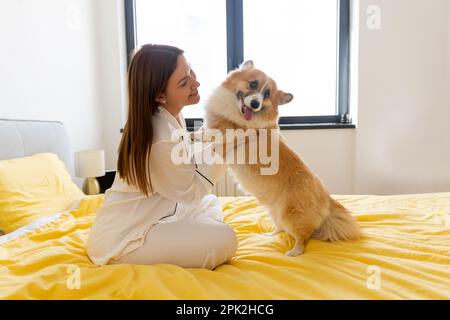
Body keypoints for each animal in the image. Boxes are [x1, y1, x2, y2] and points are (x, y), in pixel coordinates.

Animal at [200, 59, 362, 255]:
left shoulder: (226, 137)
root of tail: (327, 198)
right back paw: (270, 235)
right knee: (281, 228)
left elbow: (213, 134)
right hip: (275, 212)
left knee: (302, 237)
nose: (255, 104)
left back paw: (293, 252)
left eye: (267, 94)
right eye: (253, 84)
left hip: (291, 215)